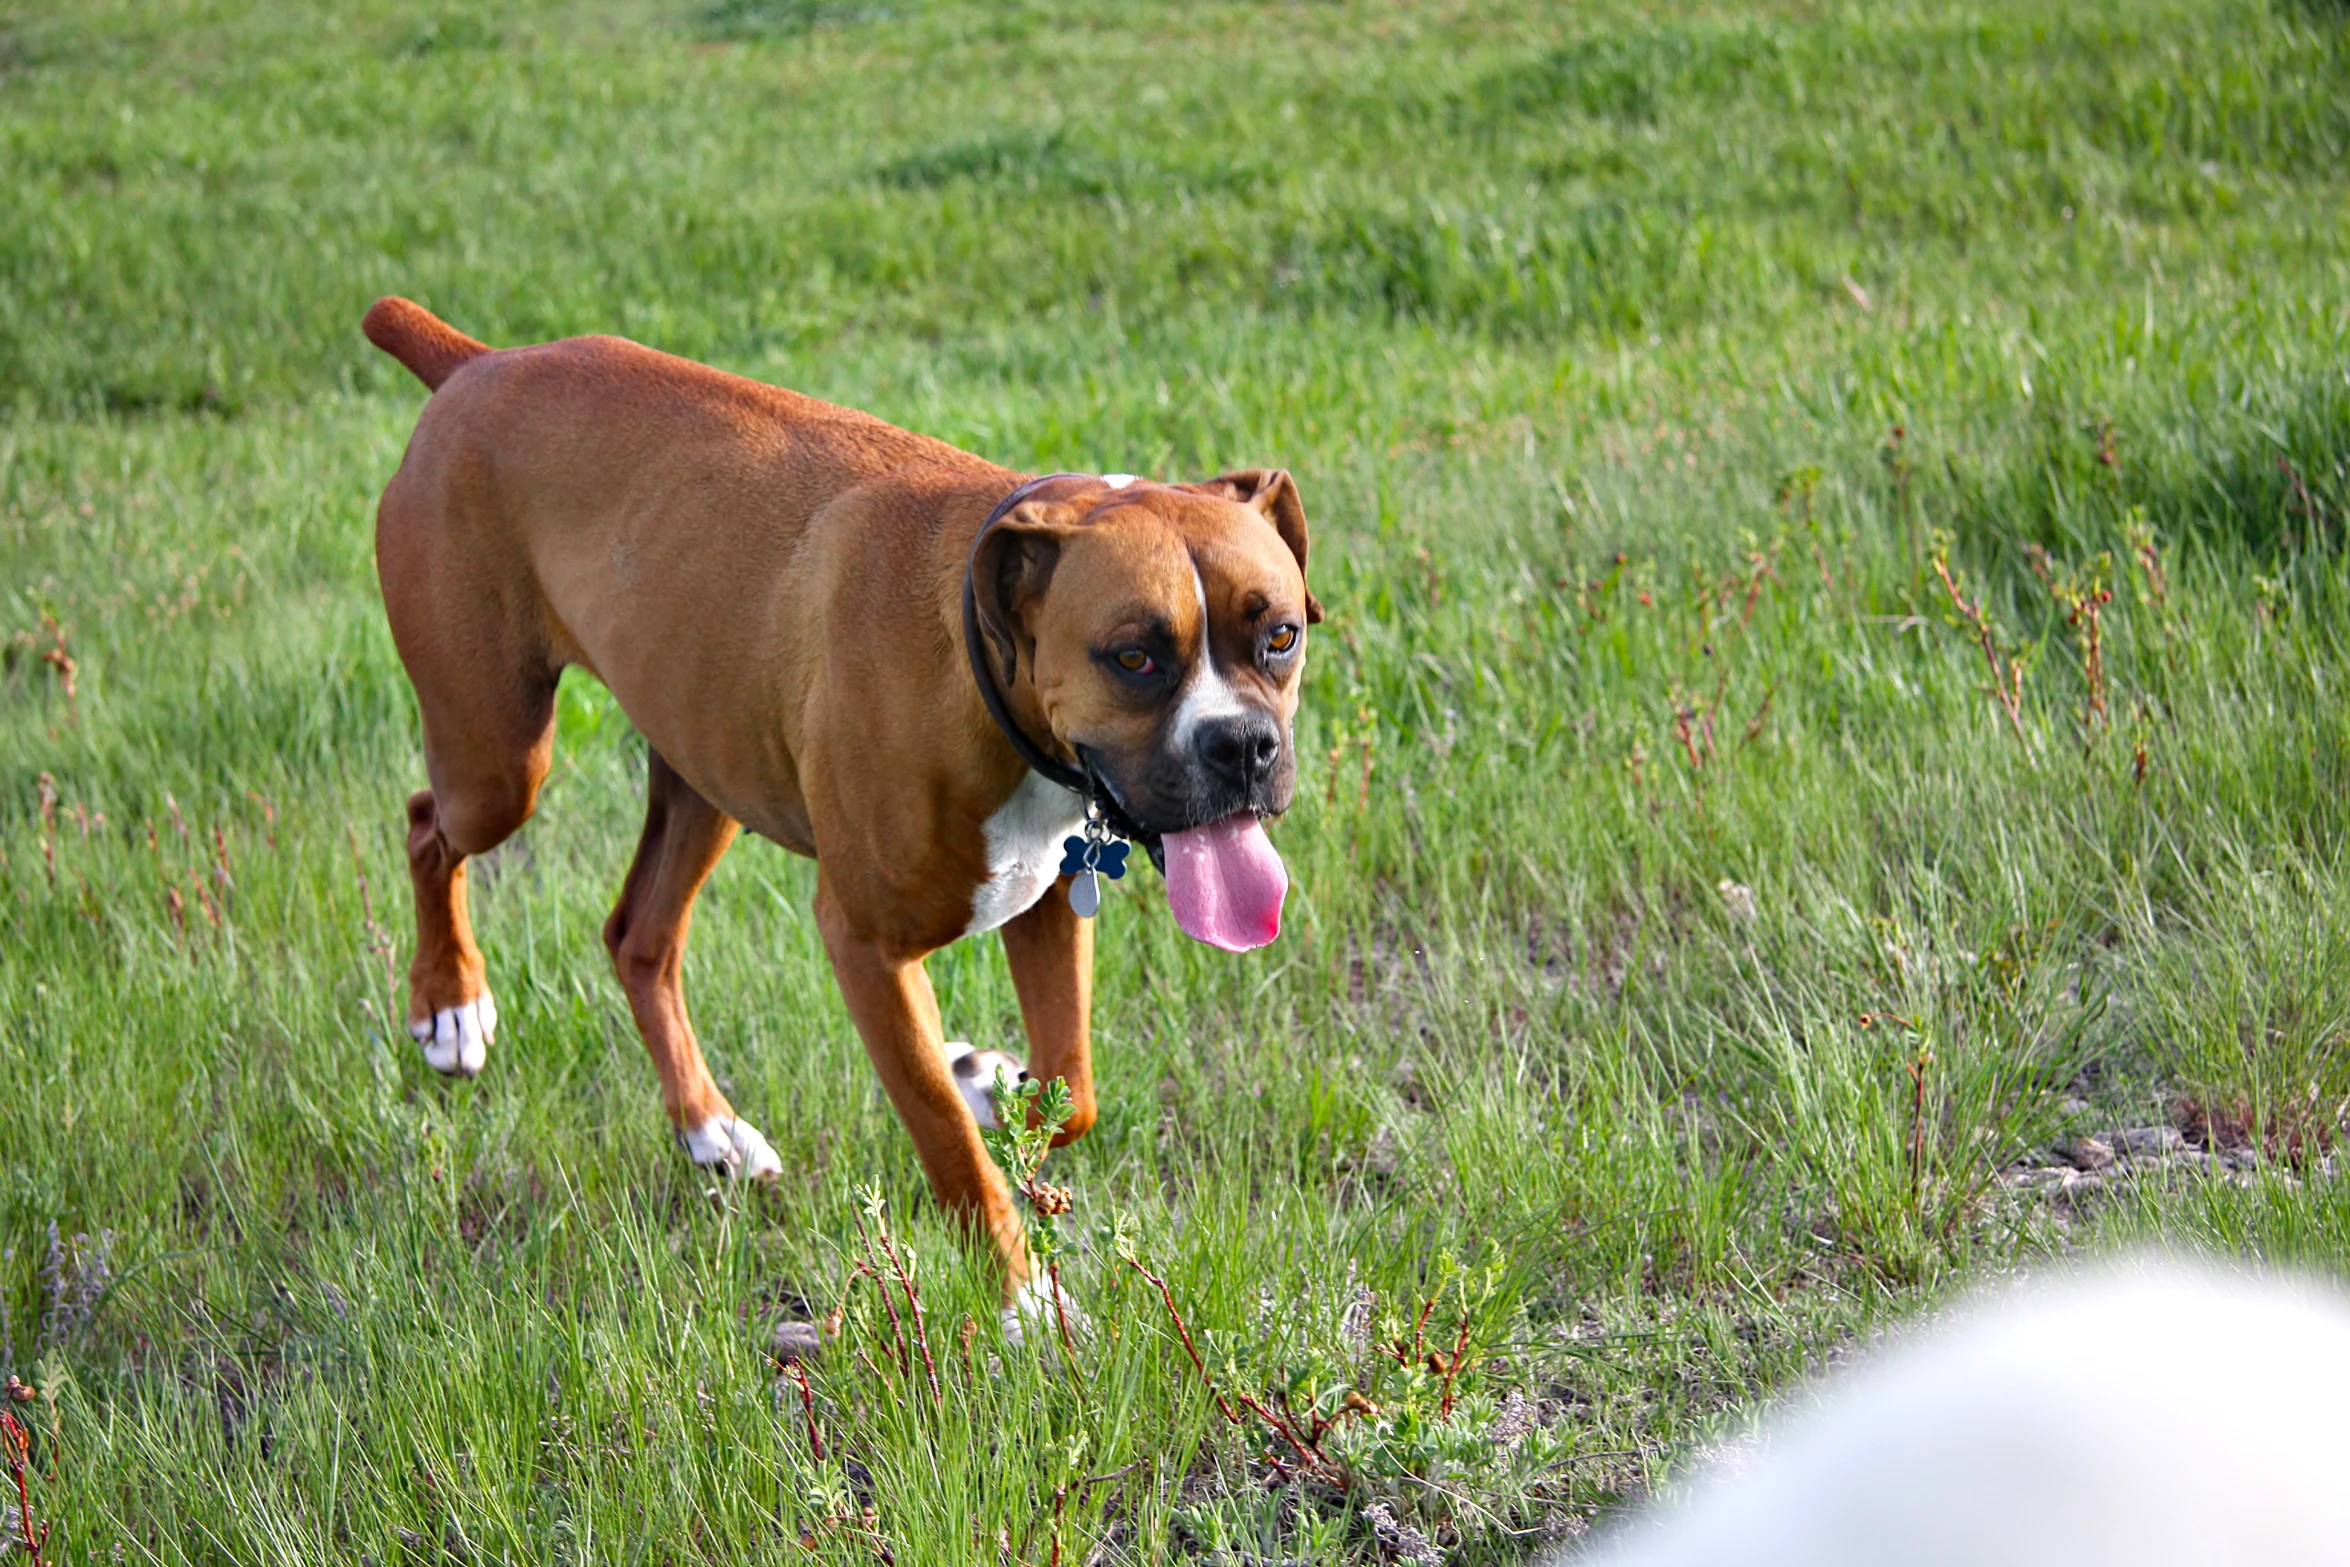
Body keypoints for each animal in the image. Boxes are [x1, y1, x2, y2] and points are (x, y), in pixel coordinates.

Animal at [366, 297, 1325, 1325]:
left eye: (1280, 636)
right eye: (1134, 656)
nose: (1241, 746)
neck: (983, 666)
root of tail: (478, 365)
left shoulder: (1046, 907)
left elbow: (1072, 1087)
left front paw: (988, 1078)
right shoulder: (868, 947)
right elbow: (948, 1141)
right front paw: (1020, 1297)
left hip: (702, 770)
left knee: (639, 937)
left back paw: (709, 1129)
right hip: (498, 764)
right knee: (427, 824)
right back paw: (451, 1007)